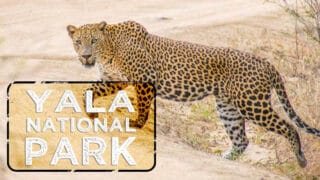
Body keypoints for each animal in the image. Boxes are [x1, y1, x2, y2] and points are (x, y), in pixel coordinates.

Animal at [67, 20, 320, 168]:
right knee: (242, 139)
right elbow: (90, 89)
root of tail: (265, 61)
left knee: (289, 126)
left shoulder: (144, 79)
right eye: (78, 42)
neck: (109, 49)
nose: (86, 56)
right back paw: (225, 159)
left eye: (93, 41)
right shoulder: (112, 79)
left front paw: (137, 123)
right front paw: (87, 110)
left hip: (252, 103)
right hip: (227, 107)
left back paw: (300, 159)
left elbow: (143, 104)